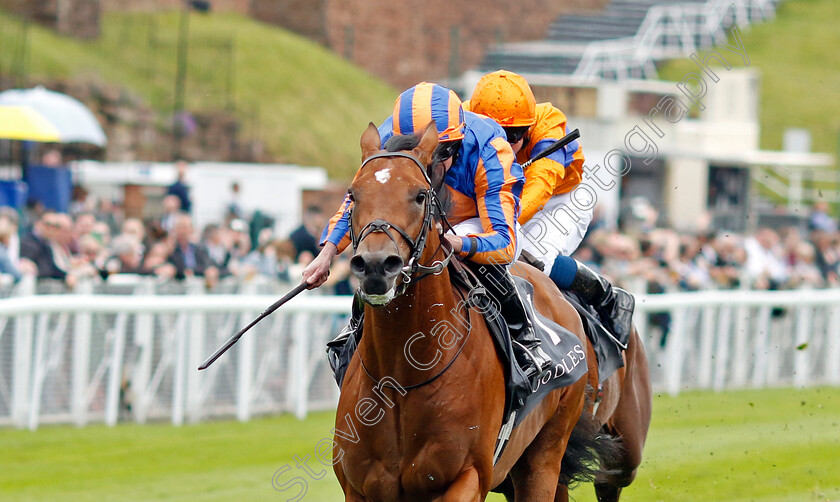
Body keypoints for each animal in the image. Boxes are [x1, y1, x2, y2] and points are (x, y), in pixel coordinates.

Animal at [332, 122, 652, 502]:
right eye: (353, 195)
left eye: (420, 195)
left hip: (555, 455)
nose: (376, 265)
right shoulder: (358, 487)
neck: (402, 376)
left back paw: (616, 306)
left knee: (606, 474)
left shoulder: (468, 475)